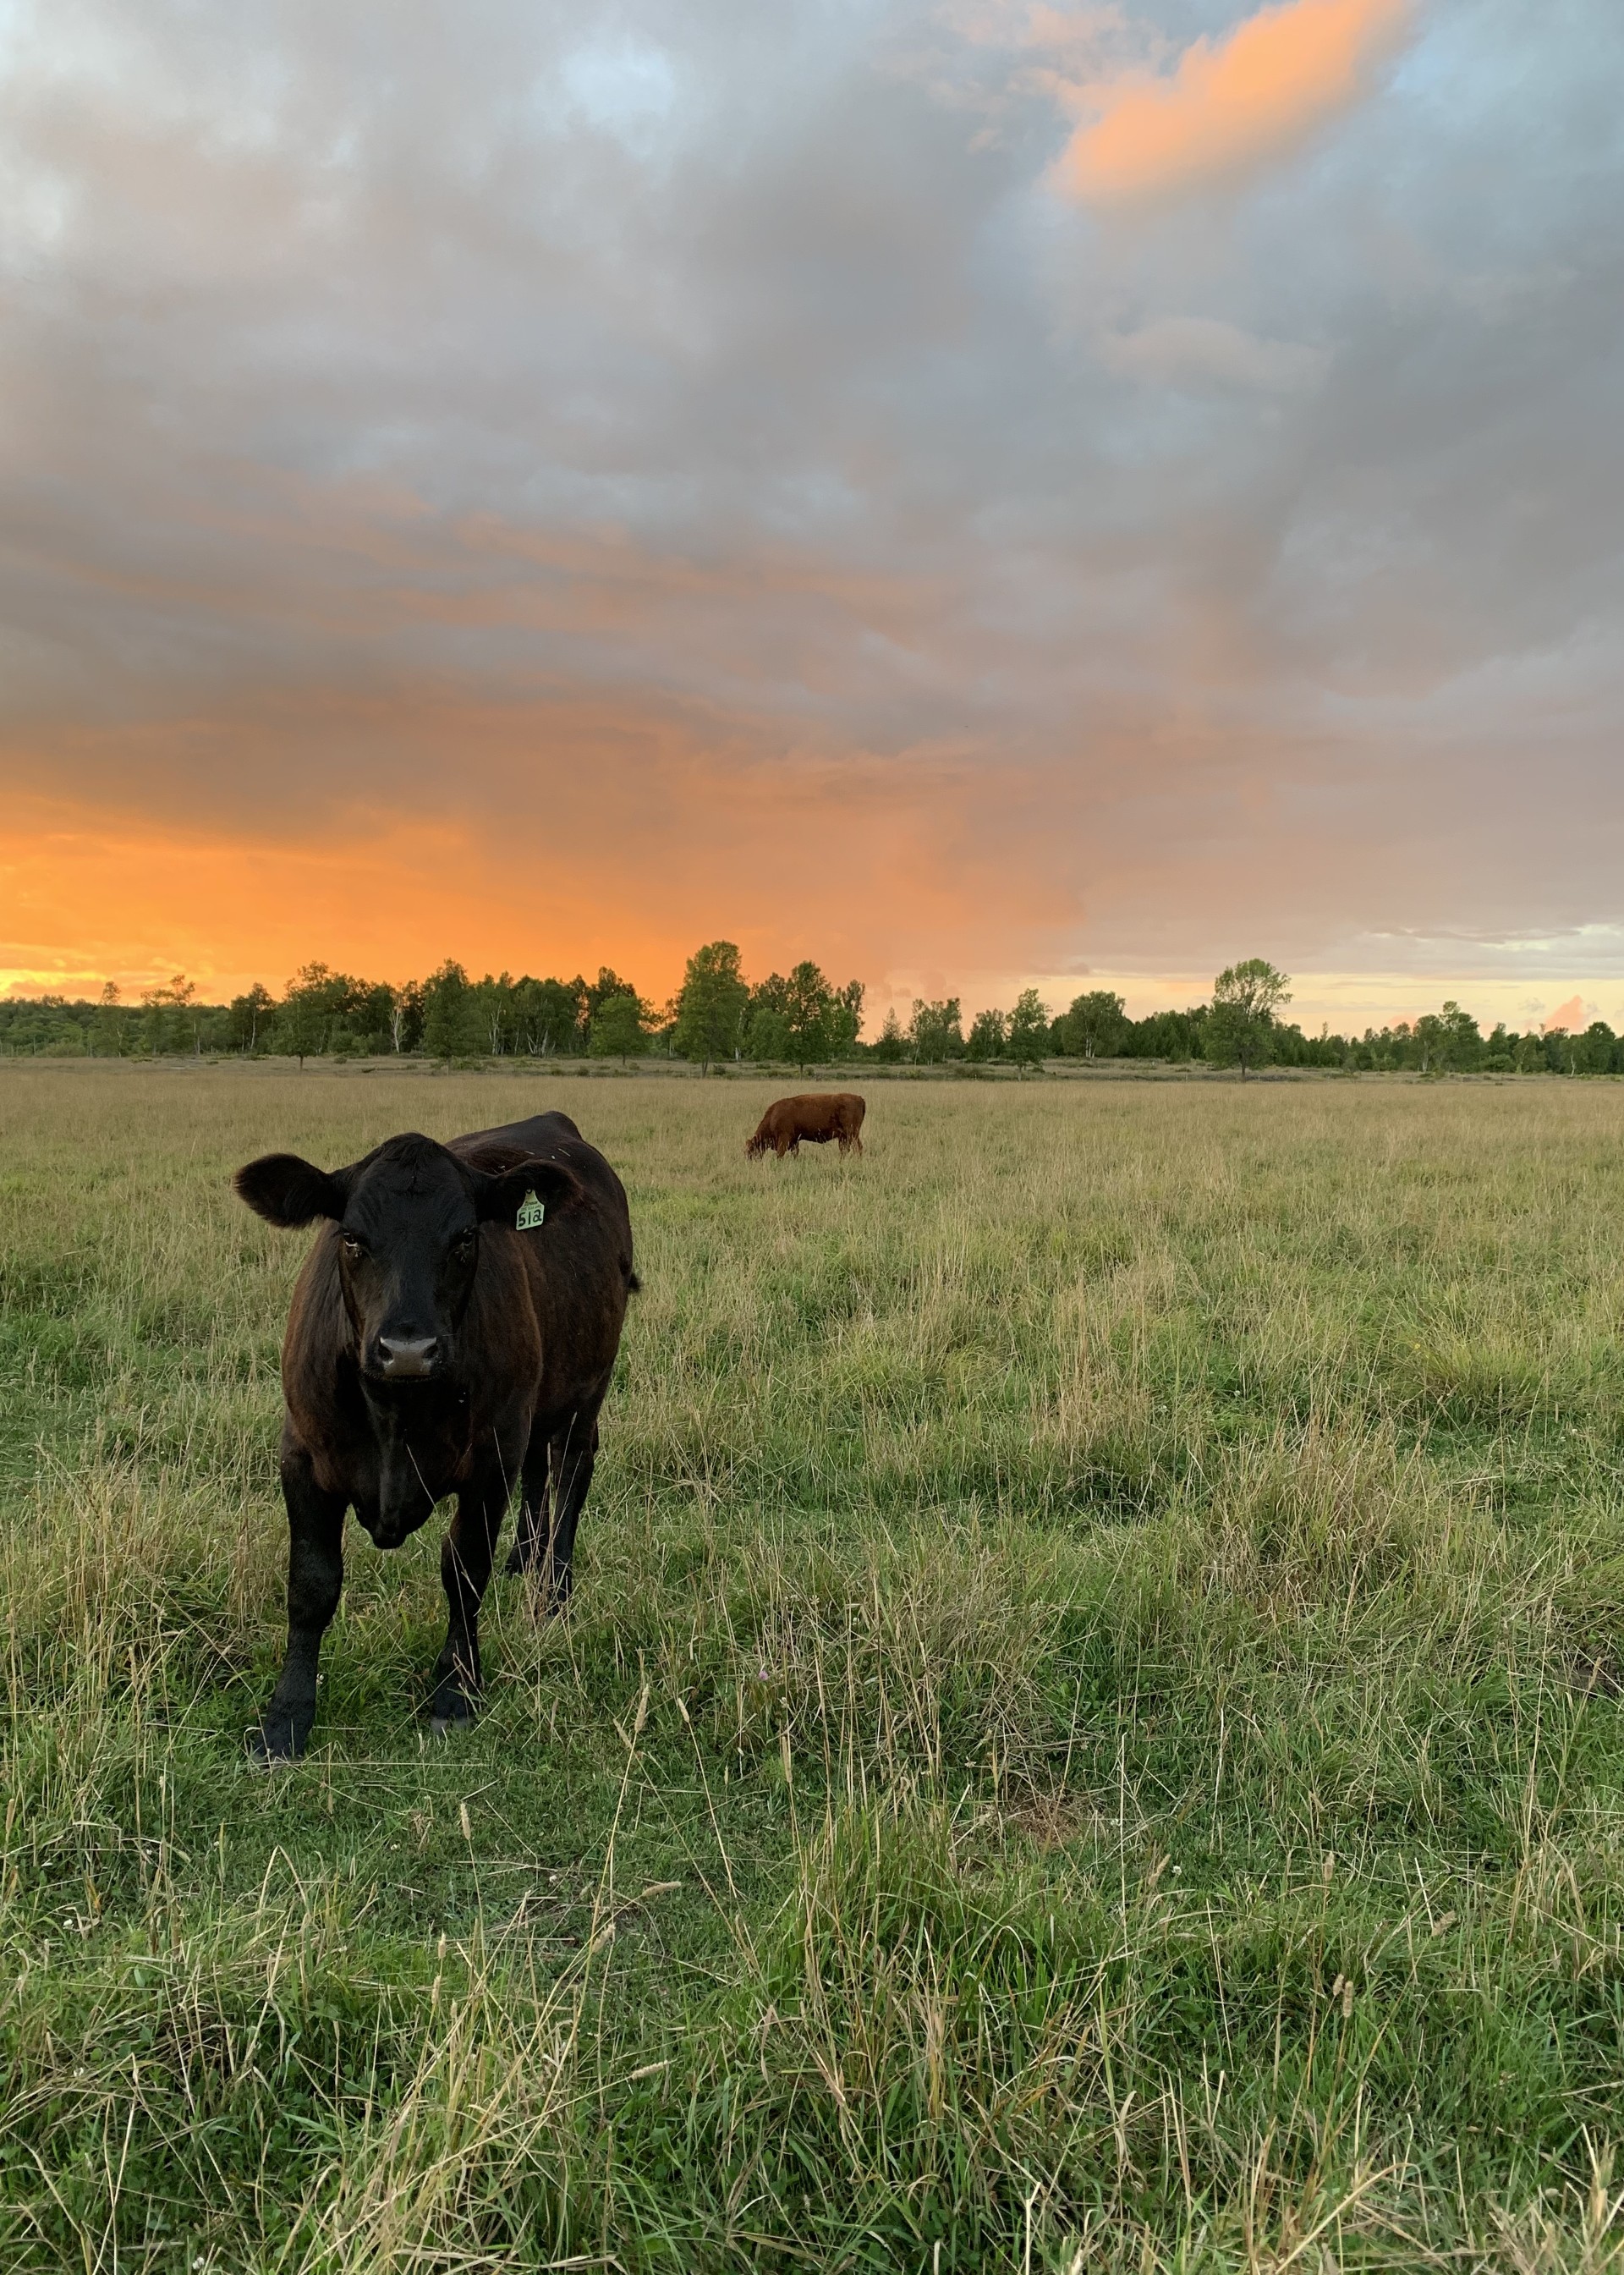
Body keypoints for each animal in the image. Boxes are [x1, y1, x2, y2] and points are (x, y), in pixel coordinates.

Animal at [233, 1111, 635, 1760]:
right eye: (352, 1237)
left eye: (465, 1237)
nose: (407, 1349)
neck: (396, 1413)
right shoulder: (301, 1456)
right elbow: (312, 1584)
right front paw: (287, 1717)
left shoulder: (490, 1458)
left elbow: (464, 1569)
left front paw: (454, 1689)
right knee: (539, 1470)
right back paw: (524, 1558)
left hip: (585, 1390)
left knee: (571, 1470)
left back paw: (554, 1590)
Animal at [745, 1092, 866, 1160]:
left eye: (751, 1149)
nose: (749, 1161)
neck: (773, 1116)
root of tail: (860, 1099)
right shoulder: (794, 1141)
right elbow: (795, 1153)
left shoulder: (784, 1138)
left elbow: (780, 1154)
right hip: (844, 1137)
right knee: (845, 1150)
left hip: (852, 1134)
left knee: (858, 1148)